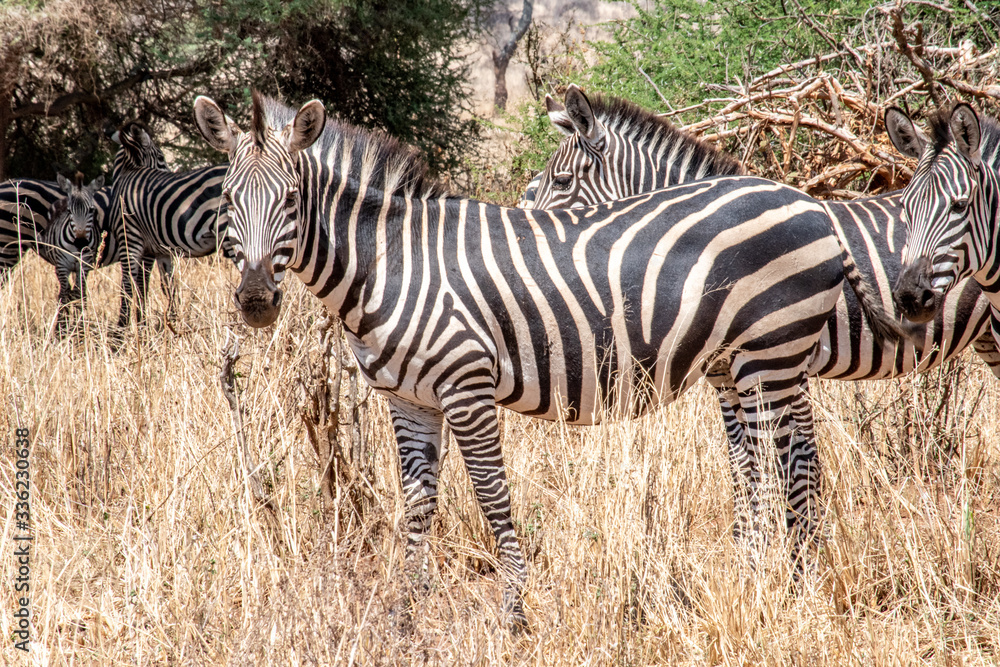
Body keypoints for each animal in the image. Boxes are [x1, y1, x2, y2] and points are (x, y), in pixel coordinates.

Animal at [106, 122, 231, 327]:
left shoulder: (130, 239)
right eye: (161, 157)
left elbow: (131, 286)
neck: (127, 174)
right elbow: (165, 286)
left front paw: (123, 330)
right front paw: (169, 324)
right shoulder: (158, 250)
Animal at [193, 91, 908, 629]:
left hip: (771, 355)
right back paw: (771, 577)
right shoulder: (408, 398)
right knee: (773, 464)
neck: (390, 263)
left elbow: (492, 497)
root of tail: (809, 202)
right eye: (227, 203)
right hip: (743, 363)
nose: (255, 301)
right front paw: (405, 612)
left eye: (290, 201)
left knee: (782, 466)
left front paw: (516, 613)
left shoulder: (466, 388)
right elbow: (417, 506)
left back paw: (775, 587)